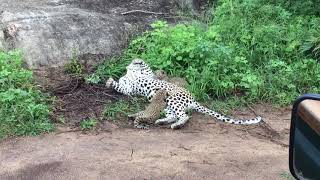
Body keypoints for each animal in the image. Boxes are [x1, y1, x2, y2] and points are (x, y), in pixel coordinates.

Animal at [106, 58, 262, 129]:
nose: (134, 63)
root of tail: (193, 99)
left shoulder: (146, 76)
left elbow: (146, 67)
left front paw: (137, 61)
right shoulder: (128, 89)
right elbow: (120, 85)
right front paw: (110, 81)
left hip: (173, 100)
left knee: (184, 116)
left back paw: (176, 125)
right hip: (167, 105)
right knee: (174, 115)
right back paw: (162, 121)